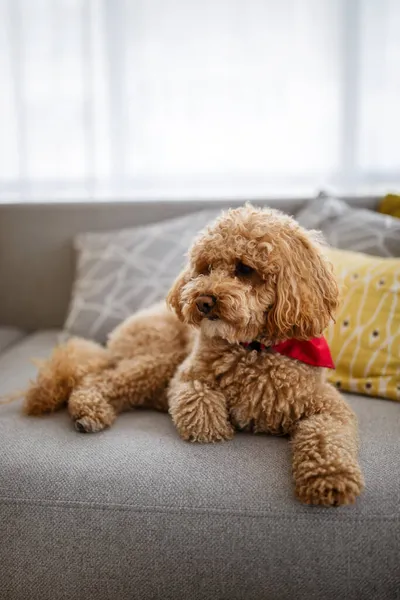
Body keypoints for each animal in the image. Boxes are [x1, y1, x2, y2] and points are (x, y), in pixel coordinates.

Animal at [23, 206, 364, 506]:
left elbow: (326, 437)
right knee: (97, 379)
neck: (254, 348)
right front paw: (217, 428)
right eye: (206, 268)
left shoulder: (329, 407)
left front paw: (331, 479)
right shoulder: (187, 377)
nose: (202, 300)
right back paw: (89, 411)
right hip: (158, 359)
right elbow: (200, 404)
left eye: (244, 269)